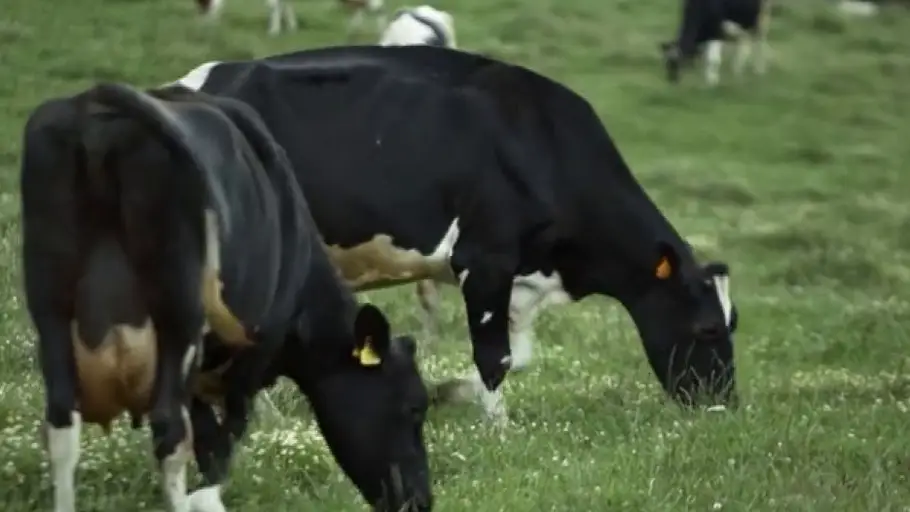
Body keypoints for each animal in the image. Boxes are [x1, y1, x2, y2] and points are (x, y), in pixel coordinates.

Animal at [20, 81, 432, 512]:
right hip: (178, 318)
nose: (422, 499)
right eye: (413, 408)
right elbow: (219, 448)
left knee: (62, 421)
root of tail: (100, 107)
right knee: (169, 430)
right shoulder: (247, 363)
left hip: (50, 305)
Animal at [170, 45, 741, 426]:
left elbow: (518, 356)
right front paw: (499, 428)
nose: (725, 407)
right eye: (709, 328)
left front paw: (450, 393)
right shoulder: (483, 259)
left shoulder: (520, 277)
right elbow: (496, 357)